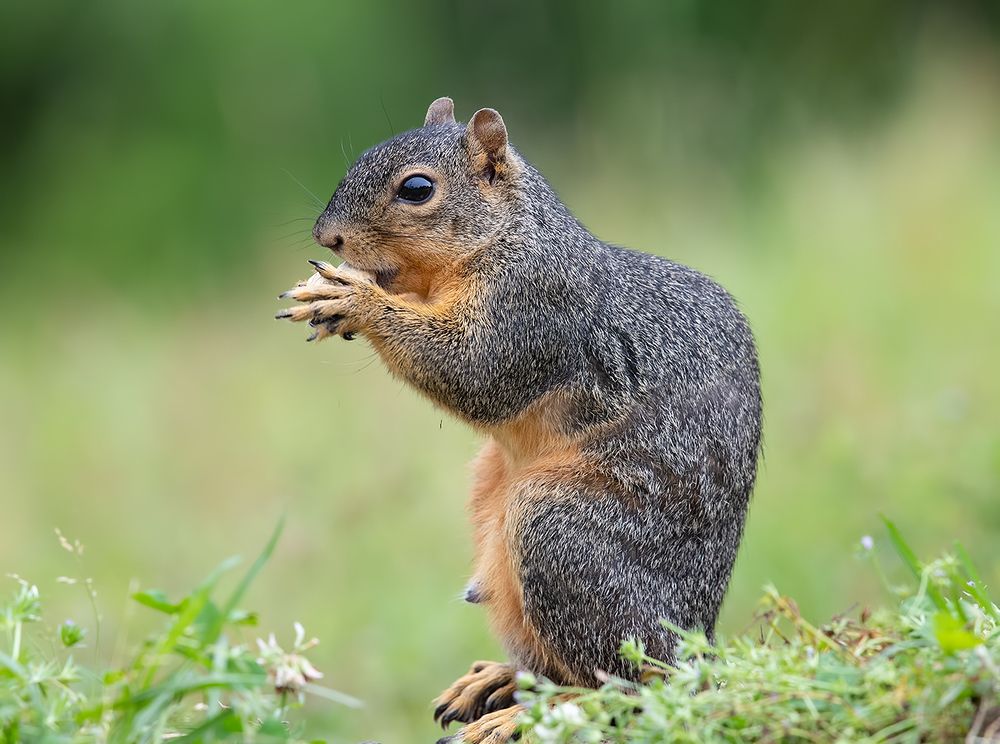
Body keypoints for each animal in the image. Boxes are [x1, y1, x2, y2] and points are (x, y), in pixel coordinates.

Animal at [277, 97, 762, 744]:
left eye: (417, 189)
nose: (326, 237)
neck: (509, 234)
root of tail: (697, 648)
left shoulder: (530, 308)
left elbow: (472, 370)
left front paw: (355, 301)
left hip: (562, 534)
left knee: (634, 688)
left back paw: (538, 710)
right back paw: (502, 682)